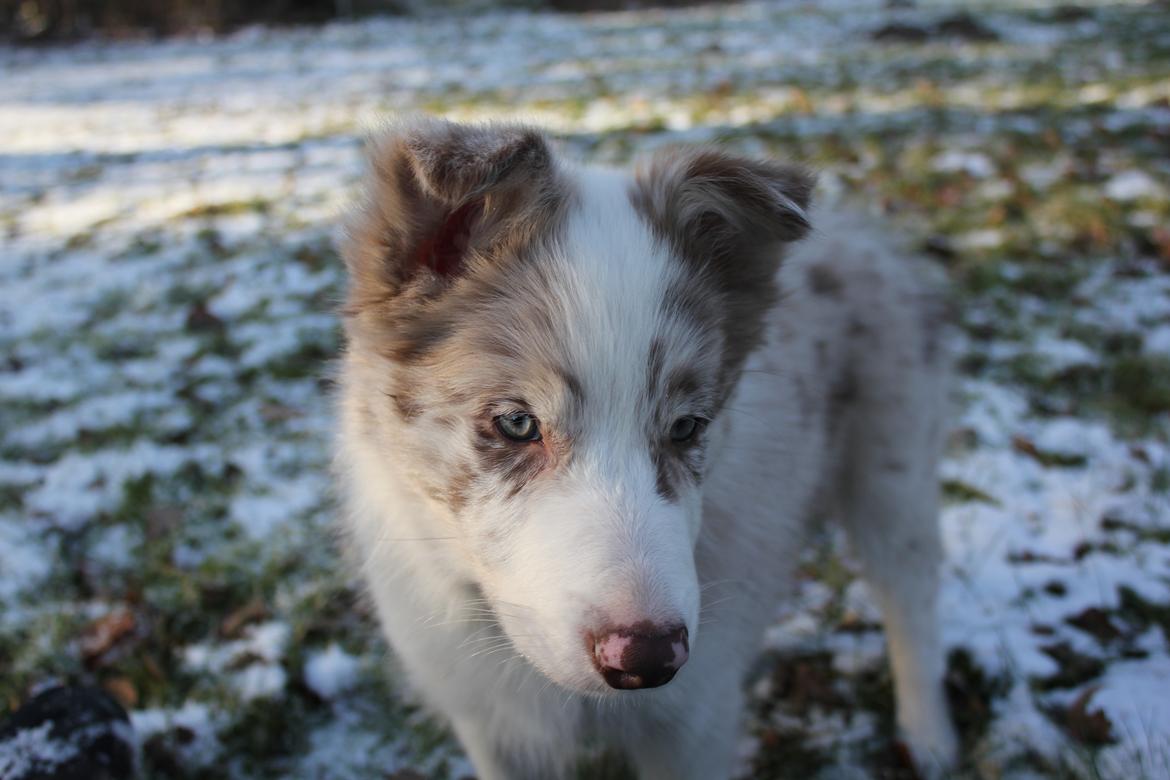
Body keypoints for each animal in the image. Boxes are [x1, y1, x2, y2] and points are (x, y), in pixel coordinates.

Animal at [334, 119, 954, 776]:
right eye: (517, 423)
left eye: (687, 428)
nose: (648, 660)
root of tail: (858, 224)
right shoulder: (495, 727)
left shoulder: (694, 721)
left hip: (895, 474)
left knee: (910, 600)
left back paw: (929, 737)